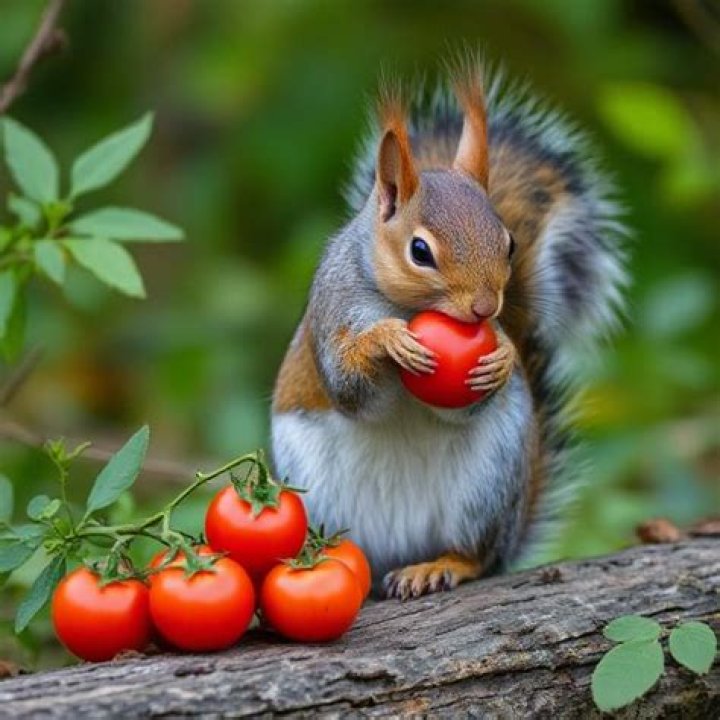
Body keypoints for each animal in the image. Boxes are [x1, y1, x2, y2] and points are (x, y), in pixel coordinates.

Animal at [270, 55, 627, 600]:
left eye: (508, 243)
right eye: (420, 251)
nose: (484, 308)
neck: (406, 305)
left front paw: (502, 357)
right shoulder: (332, 312)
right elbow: (349, 388)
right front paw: (387, 341)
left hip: (487, 484)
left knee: (476, 554)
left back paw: (439, 566)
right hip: (318, 493)